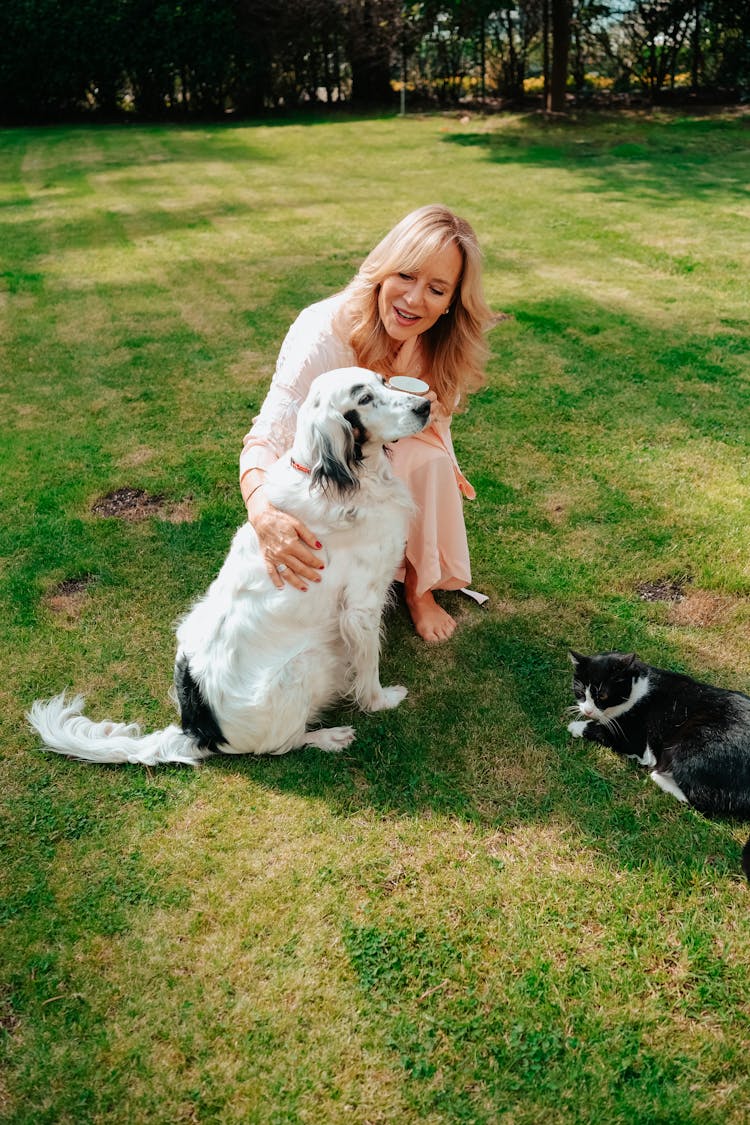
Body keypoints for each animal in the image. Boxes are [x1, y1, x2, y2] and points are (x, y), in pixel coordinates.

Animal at [29, 369, 431, 765]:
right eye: (364, 399)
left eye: (384, 381)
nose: (426, 406)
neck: (343, 479)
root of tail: (198, 730)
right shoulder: (360, 606)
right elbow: (369, 670)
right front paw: (381, 700)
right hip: (305, 664)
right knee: (282, 745)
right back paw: (327, 737)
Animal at [568, 652, 750, 877]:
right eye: (580, 693)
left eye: (602, 696)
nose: (587, 711)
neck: (636, 687)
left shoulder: (632, 739)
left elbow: (602, 729)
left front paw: (576, 726)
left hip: (691, 745)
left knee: (703, 800)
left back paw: (660, 777)